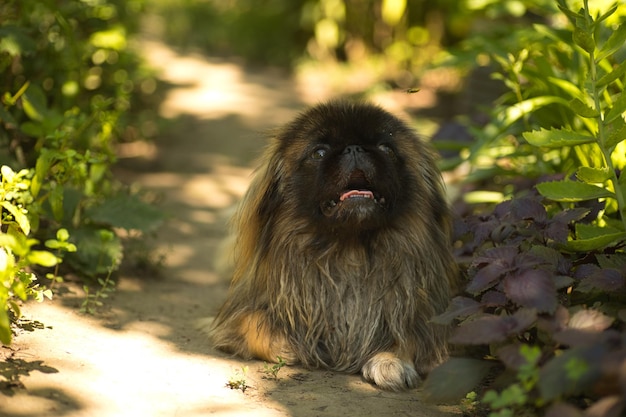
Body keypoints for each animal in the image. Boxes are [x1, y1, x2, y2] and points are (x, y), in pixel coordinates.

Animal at [210, 100, 454, 390]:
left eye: (387, 148)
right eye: (319, 152)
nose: (354, 148)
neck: (350, 251)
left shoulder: (424, 315)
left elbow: (409, 335)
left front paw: (390, 360)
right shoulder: (241, 310)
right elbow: (255, 323)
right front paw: (290, 345)